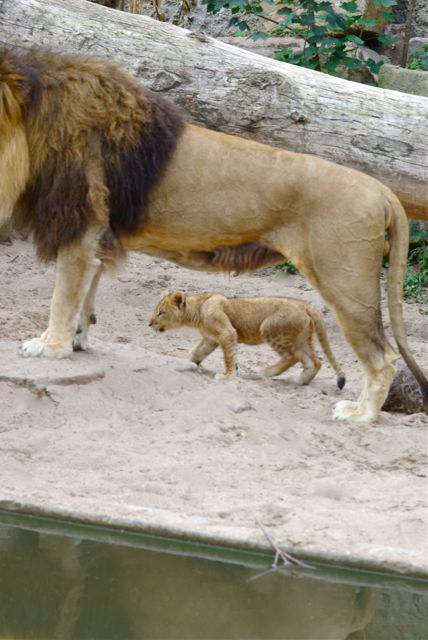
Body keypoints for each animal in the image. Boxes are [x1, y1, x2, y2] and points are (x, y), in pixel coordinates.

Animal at [0, 47, 428, 422]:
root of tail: (383, 190)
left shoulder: (80, 228)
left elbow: (62, 297)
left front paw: (49, 347)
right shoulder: (96, 236)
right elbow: (84, 297)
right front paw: (76, 341)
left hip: (345, 282)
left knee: (383, 357)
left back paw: (361, 415)